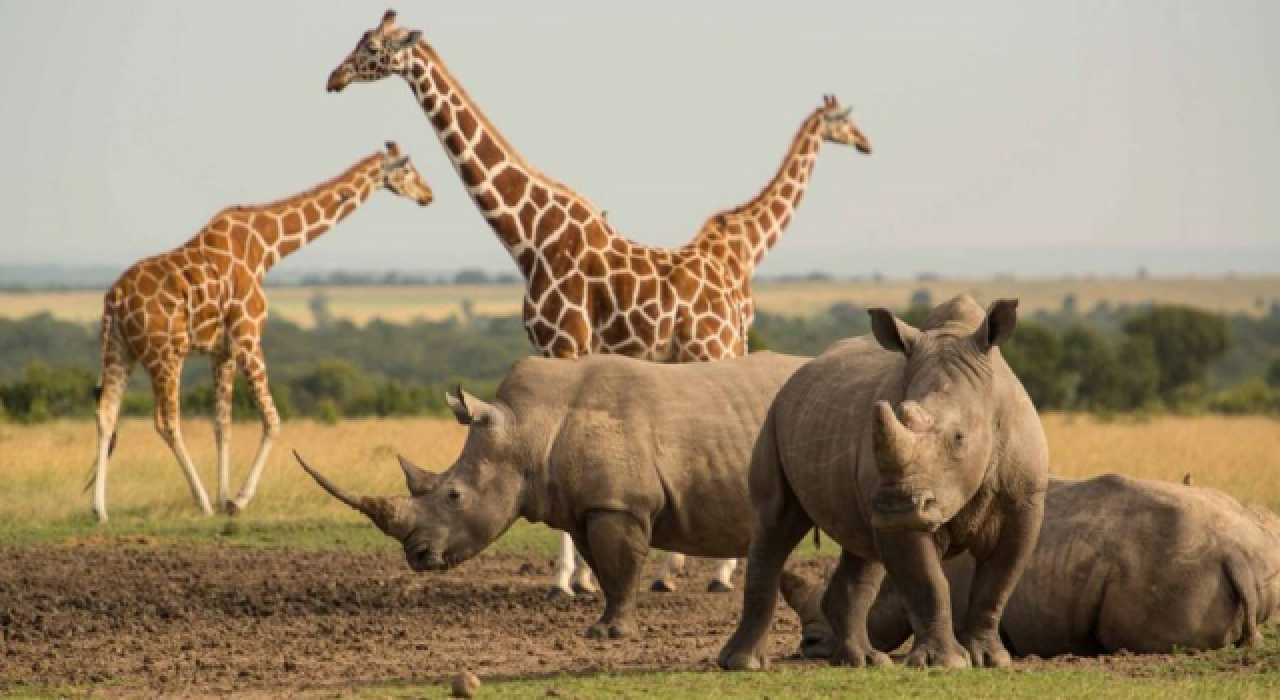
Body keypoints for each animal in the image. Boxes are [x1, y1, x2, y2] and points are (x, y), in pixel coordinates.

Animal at [88, 145, 435, 522]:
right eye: (409, 170)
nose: (428, 195)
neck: (267, 248)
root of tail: (115, 298)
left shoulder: (221, 350)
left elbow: (222, 424)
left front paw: (225, 497)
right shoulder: (248, 338)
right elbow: (272, 420)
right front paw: (237, 500)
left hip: (119, 351)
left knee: (106, 413)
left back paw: (100, 510)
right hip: (165, 355)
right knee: (166, 422)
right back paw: (201, 503)